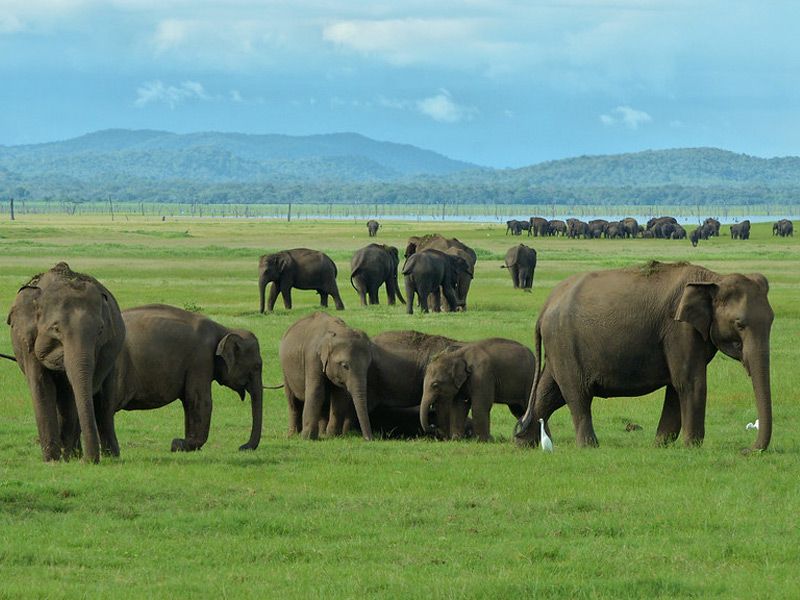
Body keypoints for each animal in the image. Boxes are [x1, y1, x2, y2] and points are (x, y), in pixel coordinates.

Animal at [5, 260, 125, 462]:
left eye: (100, 330)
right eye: (56, 328)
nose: (89, 461)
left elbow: (70, 393)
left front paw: (67, 457)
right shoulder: (27, 341)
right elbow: (41, 386)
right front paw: (52, 459)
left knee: (98, 405)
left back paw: (100, 455)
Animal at [99, 304, 264, 454]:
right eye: (257, 366)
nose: (242, 447)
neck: (225, 330)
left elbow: (188, 401)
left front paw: (184, 444)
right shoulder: (201, 359)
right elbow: (200, 400)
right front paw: (179, 445)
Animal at [516, 260, 772, 452]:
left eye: (771, 320)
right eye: (739, 324)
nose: (747, 450)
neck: (713, 278)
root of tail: (546, 305)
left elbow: (676, 386)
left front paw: (661, 445)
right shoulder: (679, 330)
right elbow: (690, 382)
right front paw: (692, 446)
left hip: (559, 346)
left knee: (550, 391)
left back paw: (522, 442)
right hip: (565, 343)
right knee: (577, 394)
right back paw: (589, 446)